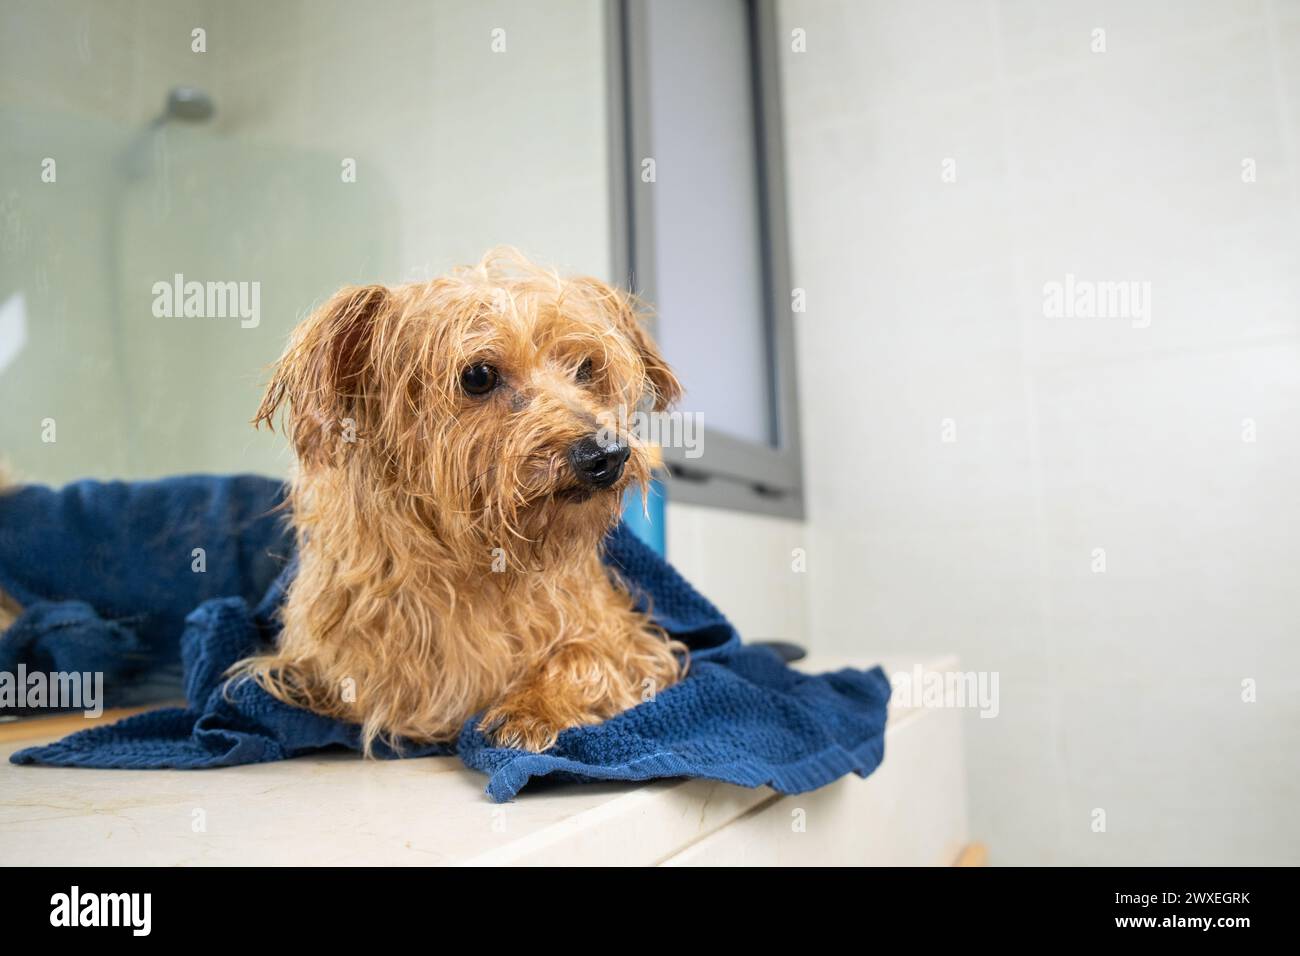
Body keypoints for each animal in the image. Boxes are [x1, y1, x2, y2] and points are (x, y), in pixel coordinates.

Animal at [233, 252, 686, 754]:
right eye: (478, 376)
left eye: (586, 368)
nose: (607, 455)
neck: (477, 560)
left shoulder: (632, 639)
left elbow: (585, 655)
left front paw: (532, 708)